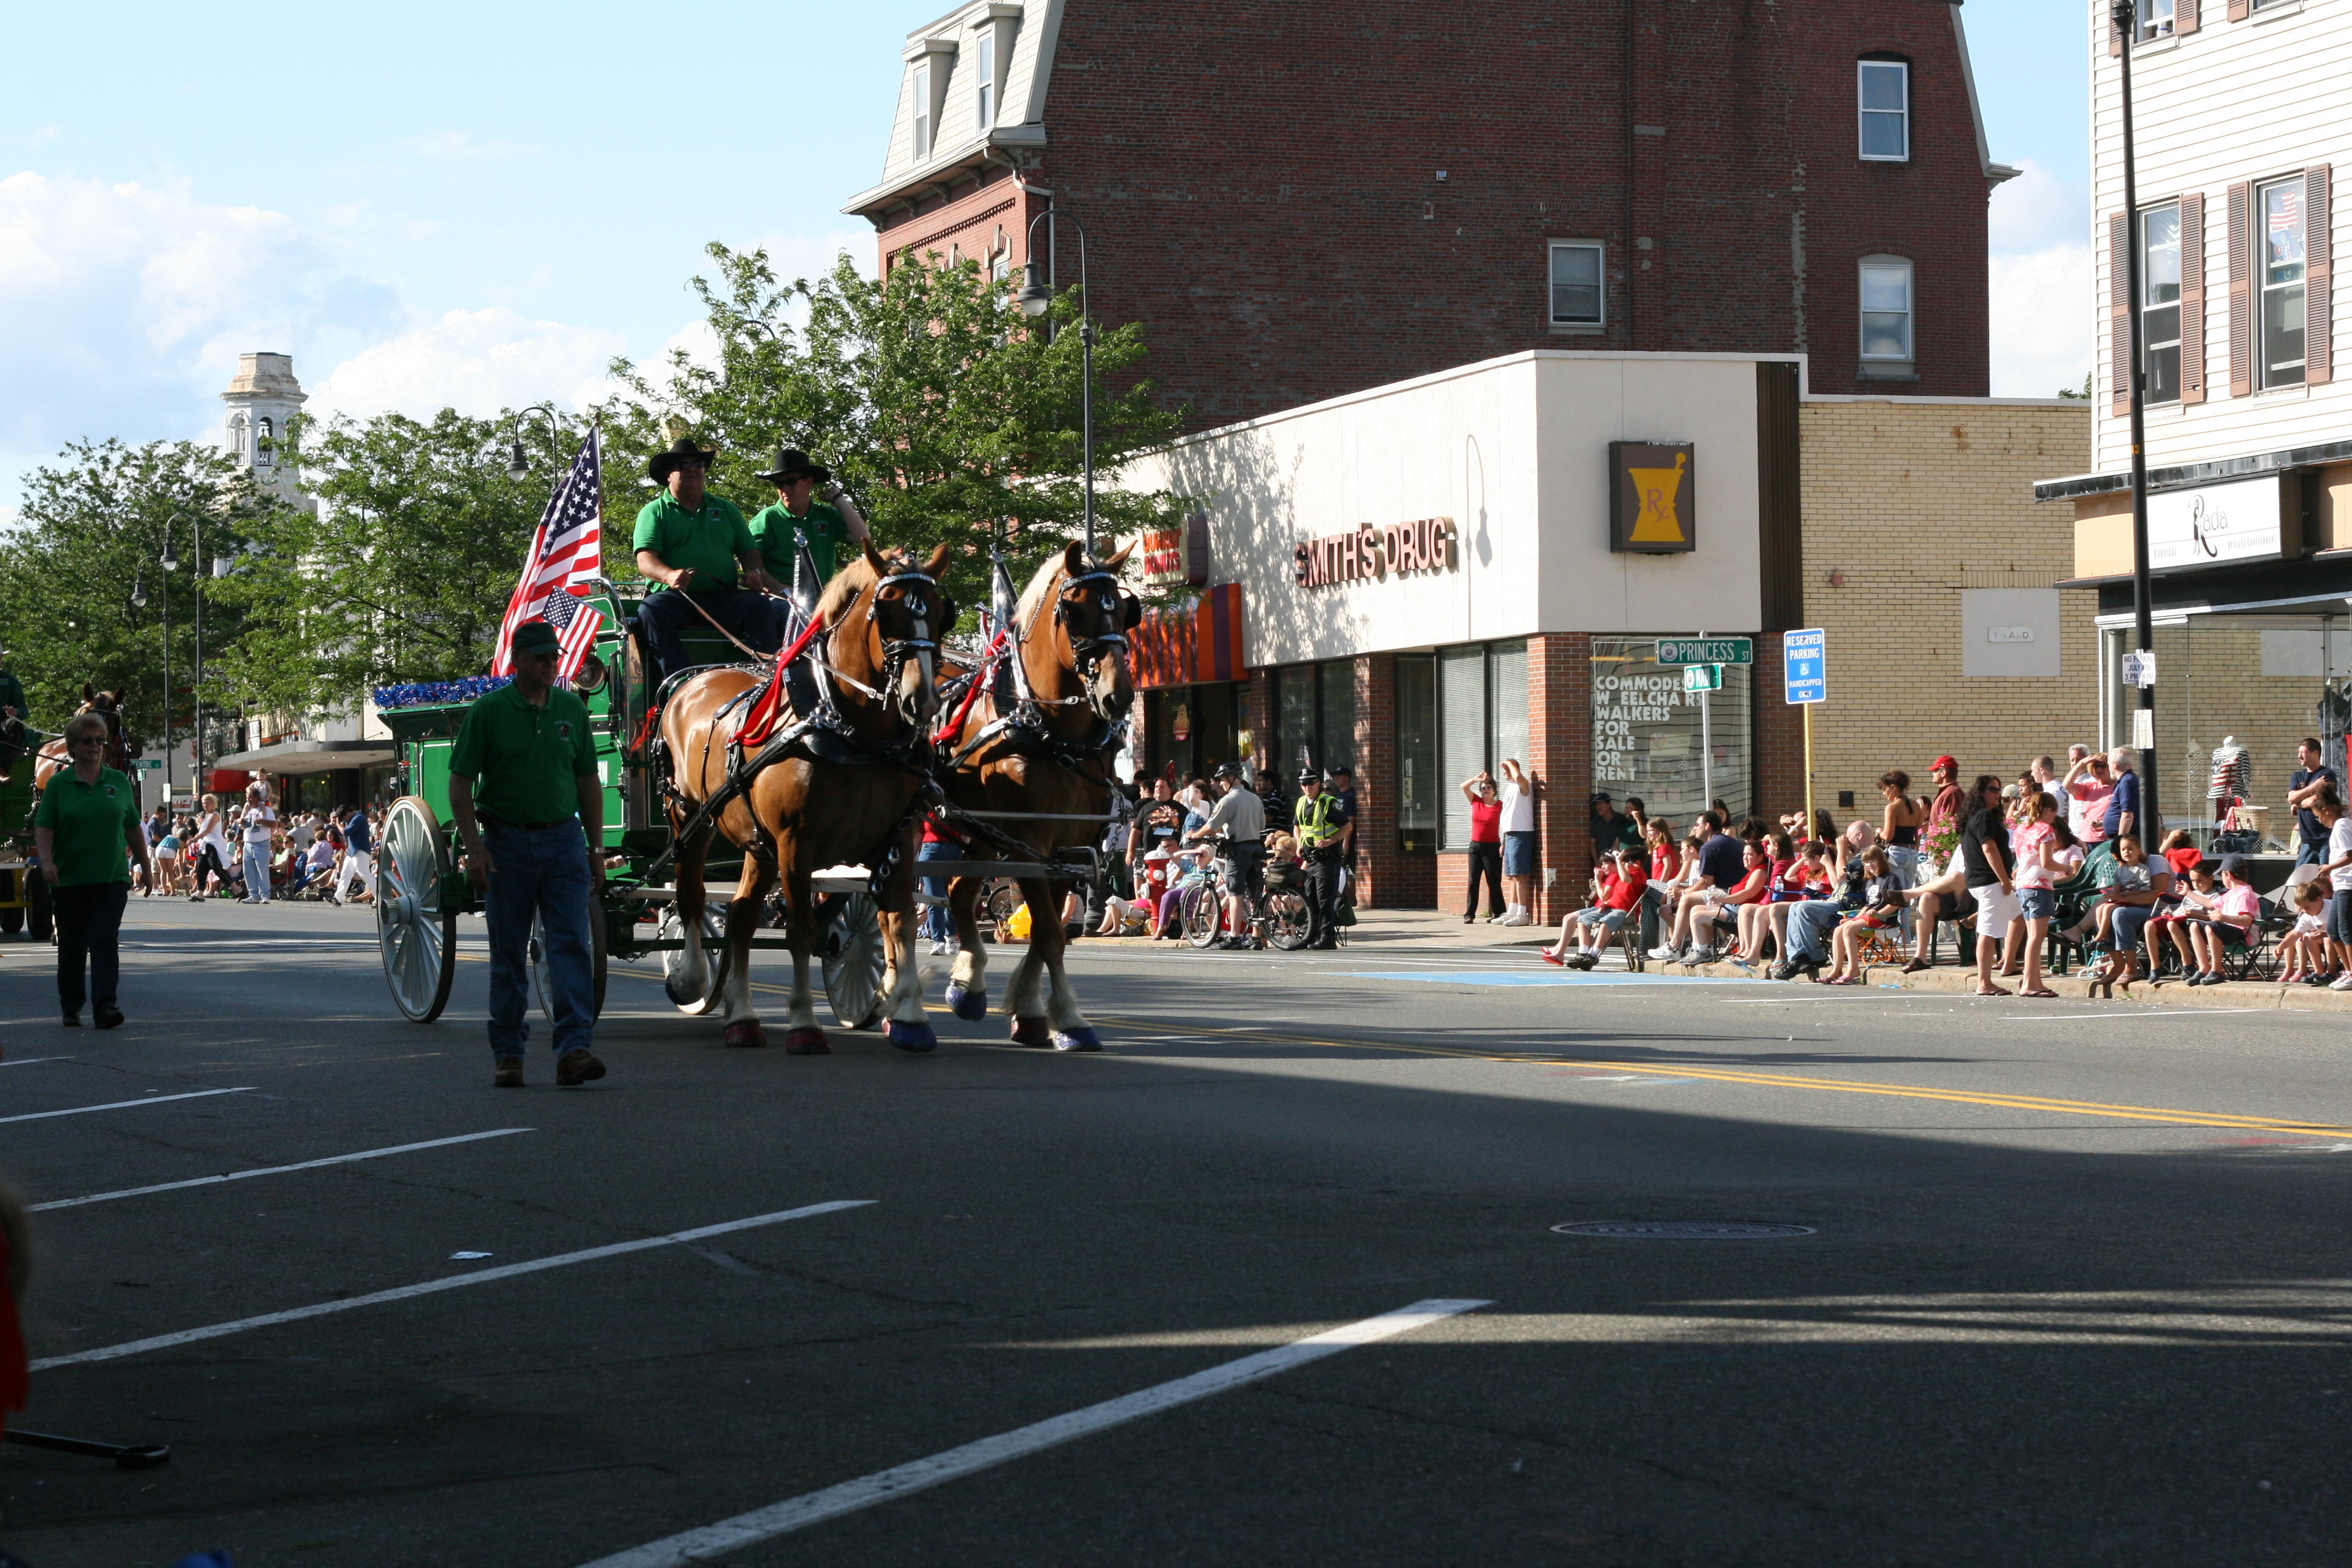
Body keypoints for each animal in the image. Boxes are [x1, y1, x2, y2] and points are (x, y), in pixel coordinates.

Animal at [658, 542, 955, 1054]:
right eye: (887, 610)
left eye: (941, 613)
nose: (924, 700)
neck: (854, 732)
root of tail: (692, 680)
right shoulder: (796, 842)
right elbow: (800, 930)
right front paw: (803, 1023)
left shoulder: (900, 838)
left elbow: (898, 922)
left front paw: (911, 1017)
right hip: (690, 815)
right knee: (691, 892)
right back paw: (692, 977)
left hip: (757, 842)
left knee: (741, 914)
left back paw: (743, 1017)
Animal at [937, 540, 1139, 1051]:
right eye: (1074, 612)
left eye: (1126, 610)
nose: (1119, 697)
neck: (1053, 733)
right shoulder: (1028, 843)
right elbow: (1048, 932)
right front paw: (1067, 1018)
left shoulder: (1067, 847)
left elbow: (1048, 933)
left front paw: (1030, 1012)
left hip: (983, 835)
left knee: (958, 891)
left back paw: (966, 987)